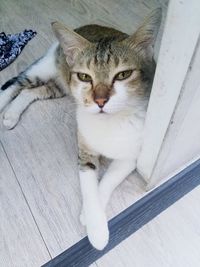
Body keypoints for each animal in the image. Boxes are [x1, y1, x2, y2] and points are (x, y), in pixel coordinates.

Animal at [0, 8, 162, 251]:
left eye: (123, 75)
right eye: (85, 76)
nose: (100, 101)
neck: (110, 121)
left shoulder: (132, 155)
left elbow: (109, 179)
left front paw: (89, 217)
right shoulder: (83, 146)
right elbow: (88, 183)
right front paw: (97, 230)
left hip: (60, 86)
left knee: (33, 92)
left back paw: (11, 114)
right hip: (46, 68)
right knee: (17, 83)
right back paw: (5, 105)